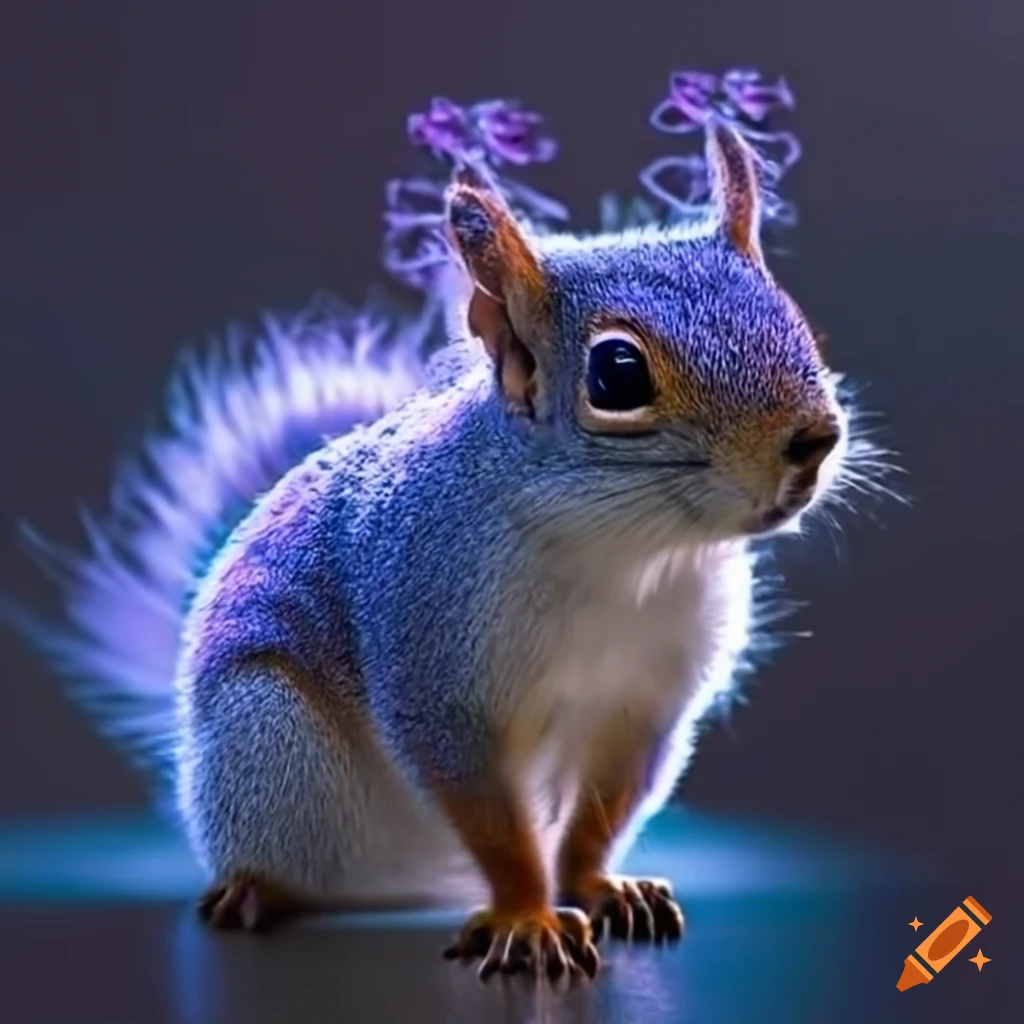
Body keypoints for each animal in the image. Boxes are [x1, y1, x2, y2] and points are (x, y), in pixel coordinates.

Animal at [10, 120, 868, 984]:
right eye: (618, 372)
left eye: (793, 318)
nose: (816, 439)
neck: (622, 553)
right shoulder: (431, 657)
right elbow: (490, 816)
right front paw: (528, 917)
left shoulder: (647, 703)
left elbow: (599, 814)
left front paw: (598, 887)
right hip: (267, 735)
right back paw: (256, 889)